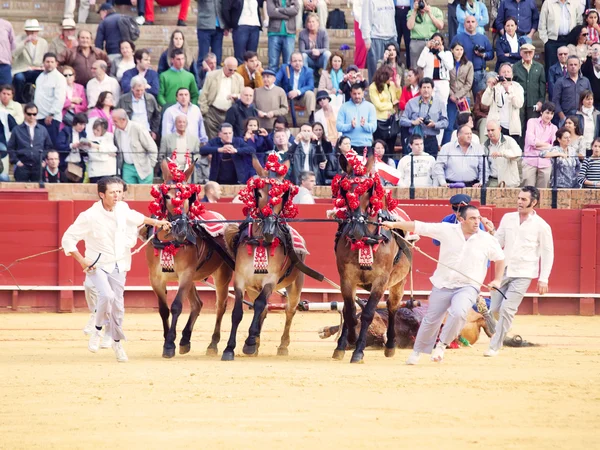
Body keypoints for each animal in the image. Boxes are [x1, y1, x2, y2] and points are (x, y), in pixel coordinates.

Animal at [145, 158, 234, 358]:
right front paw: (167, 339)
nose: (181, 229)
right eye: (167, 196)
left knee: (220, 306)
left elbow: (177, 306)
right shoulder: (156, 278)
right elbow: (164, 309)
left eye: (188, 197)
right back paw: (185, 340)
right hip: (194, 278)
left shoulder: (185, 274)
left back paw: (213, 344)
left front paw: (169, 344)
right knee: (197, 304)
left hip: (221, 276)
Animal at [220, 156, 304, 360]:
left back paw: (282, 345)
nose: (268, 230)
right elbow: (237, 312)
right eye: (258, 193)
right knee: (264, 309)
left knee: (289, 311)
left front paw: (250, 341)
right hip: (253, 287)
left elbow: (259, 305)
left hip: (295, 285)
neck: (260, 241)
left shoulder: (270, 280)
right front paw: (230, 348)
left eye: (283, 195)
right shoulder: (241, 280)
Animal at [332, 153, 412, 364]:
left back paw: (390, 345)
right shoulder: (346, 278)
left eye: (369, 189)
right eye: (344, 189)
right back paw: (341, 345)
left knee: (392, 307)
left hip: (398, 283)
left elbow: (368, 313)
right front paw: (349, 340)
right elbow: (350, 312)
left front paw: (358, 350)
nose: (356, 230)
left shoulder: (380, 281)